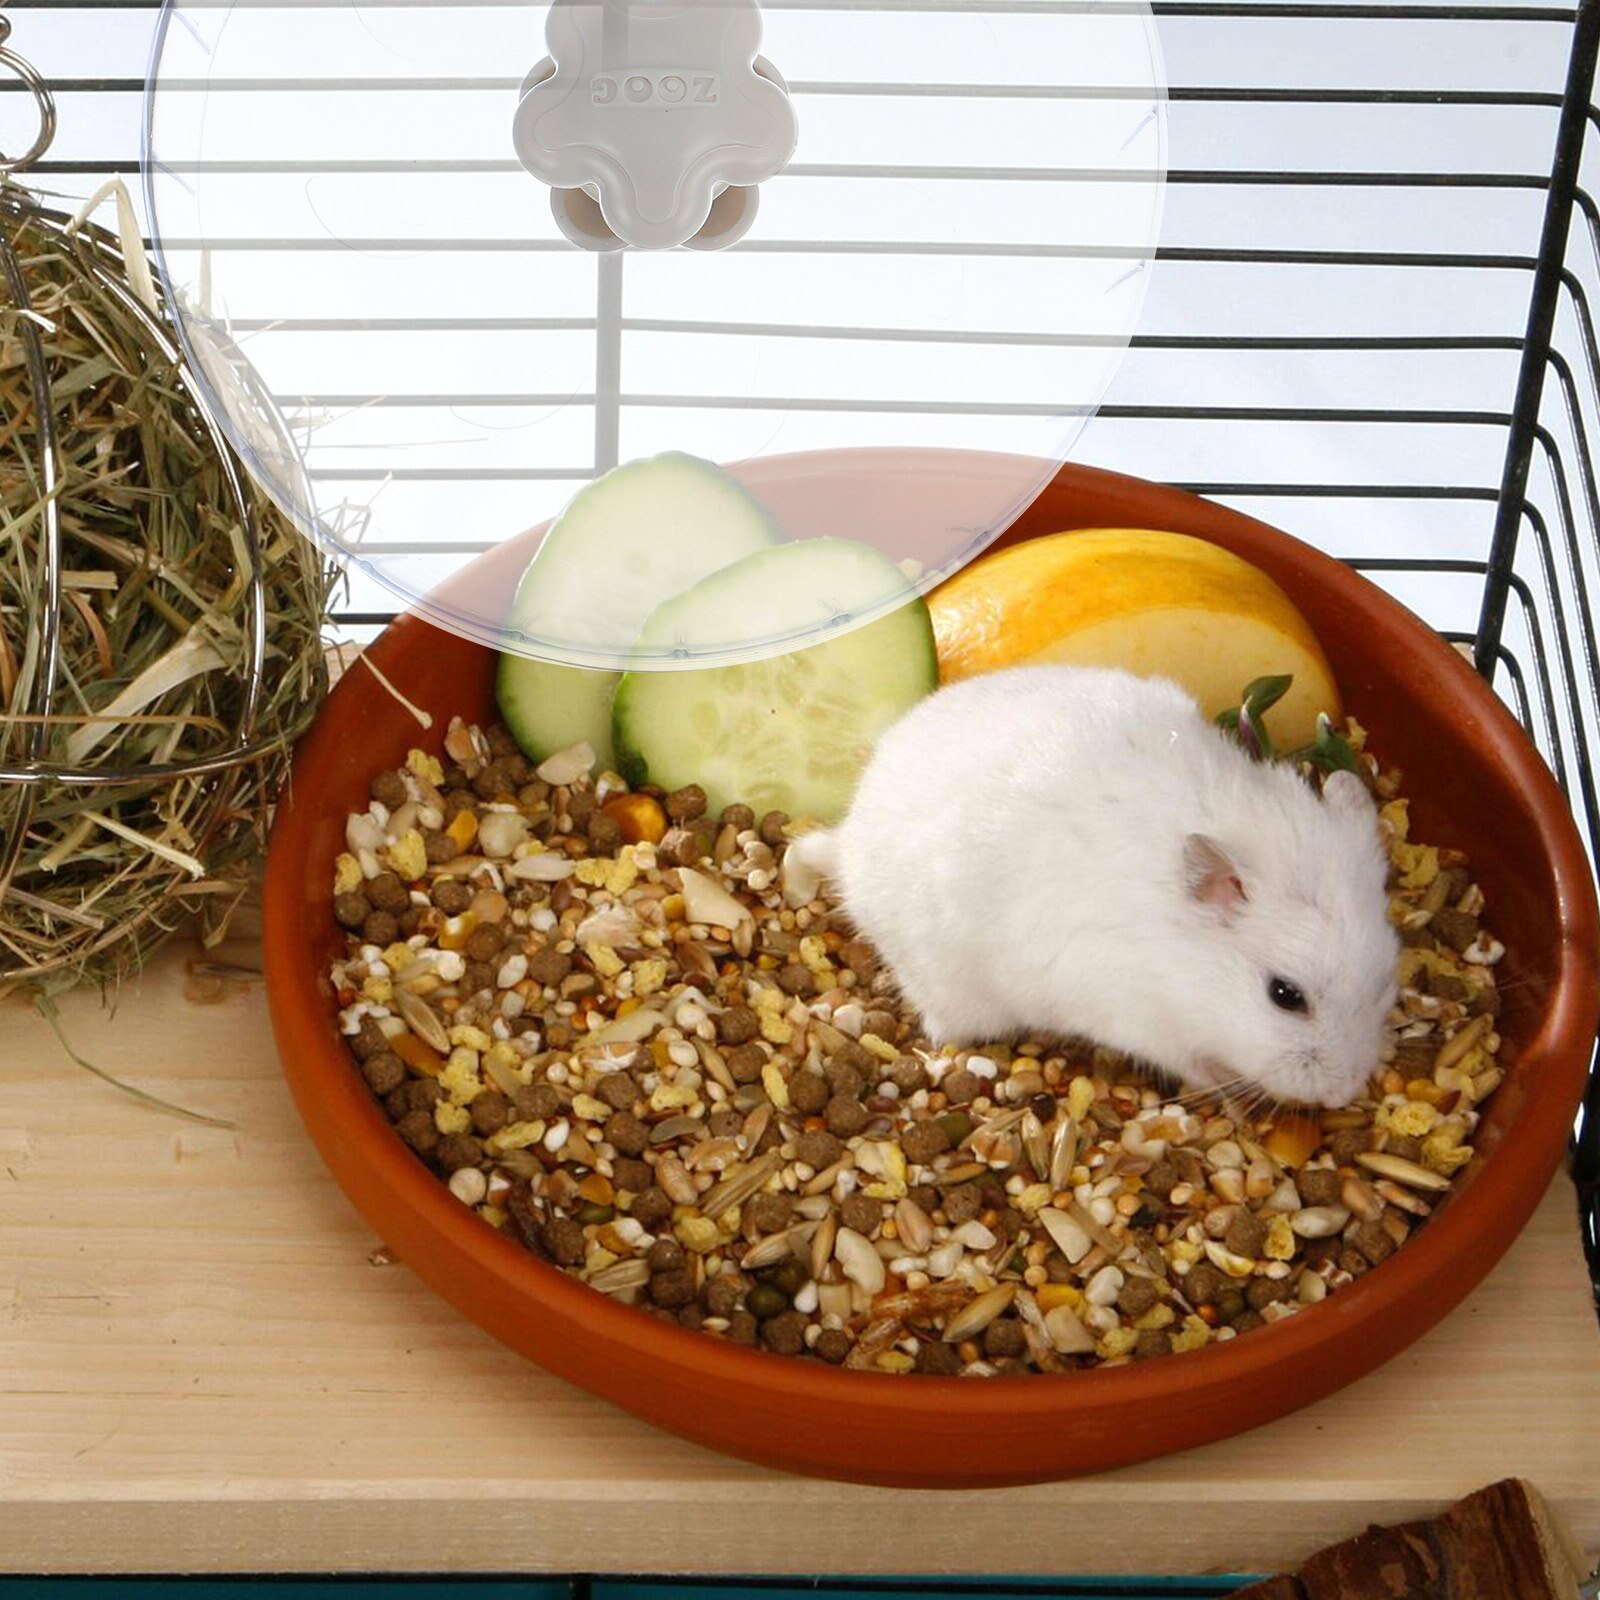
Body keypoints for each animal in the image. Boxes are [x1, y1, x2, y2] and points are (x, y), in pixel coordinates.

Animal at [797, 664, 1399, 1110]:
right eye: (1284, 995)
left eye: (1385, 982)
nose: (1343, 1095)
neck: (1185, 966)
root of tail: (846, 841)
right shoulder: (1138, 1019)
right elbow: (1191, 1062)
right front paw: (1224, 1093)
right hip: (953, 991)